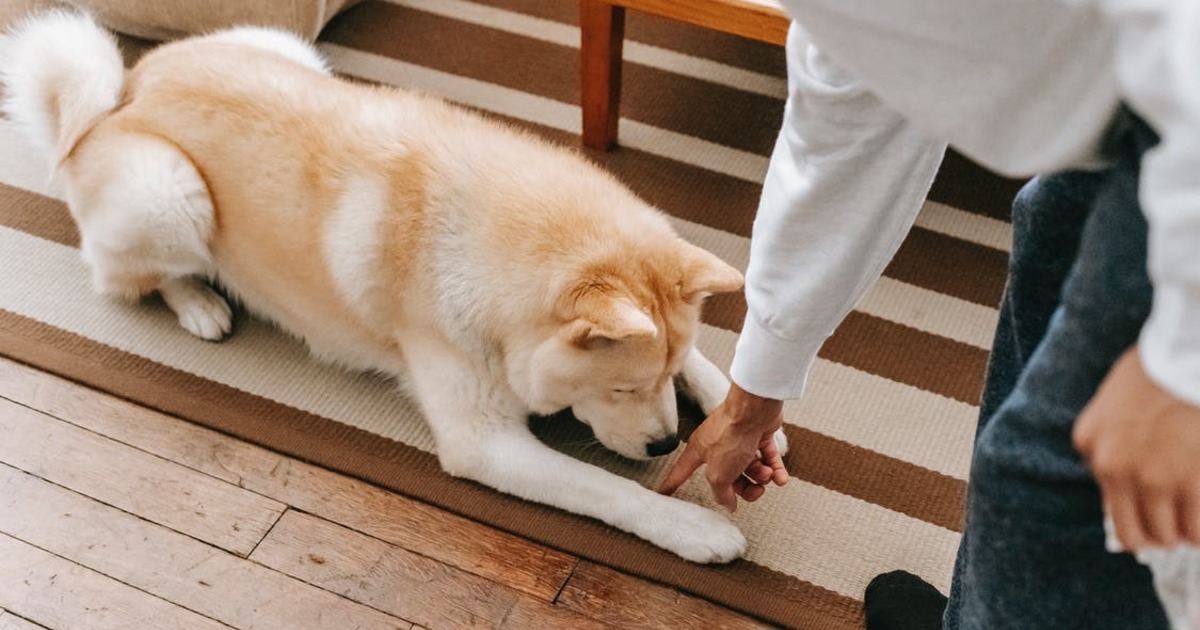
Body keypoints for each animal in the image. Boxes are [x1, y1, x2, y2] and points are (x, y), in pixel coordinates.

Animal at [1, 11, 786, 562]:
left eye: (659, 378)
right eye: (622, 388)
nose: (664, 444)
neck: (486, 248)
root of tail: (122, 94)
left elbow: (710, 363)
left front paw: (747, 415)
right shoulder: (482, 441)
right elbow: (604, 490)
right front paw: (690, 526)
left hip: (291, 53)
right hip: (167, 192)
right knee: (124, 276)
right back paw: (199, 303)